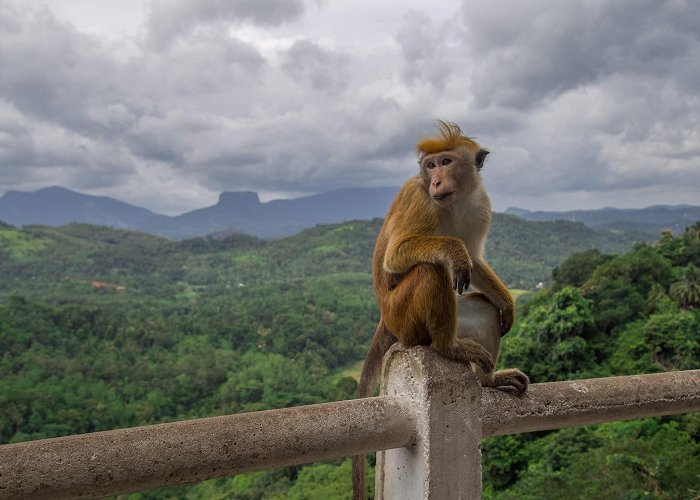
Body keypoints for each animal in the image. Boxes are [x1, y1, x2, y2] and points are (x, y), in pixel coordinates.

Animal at [352, 121, 528, 500]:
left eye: (446, 162)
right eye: (430, 166)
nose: (435, 181)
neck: (456, 200)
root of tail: (385, 318)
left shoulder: (481, 206)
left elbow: (475, 261)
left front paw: (507, 301)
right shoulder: (422, 201)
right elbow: (399, 255)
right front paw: (455, 251)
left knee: (482, 308)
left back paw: (489, 379)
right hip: (404, 317)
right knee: (428, 269)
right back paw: (449, 347)